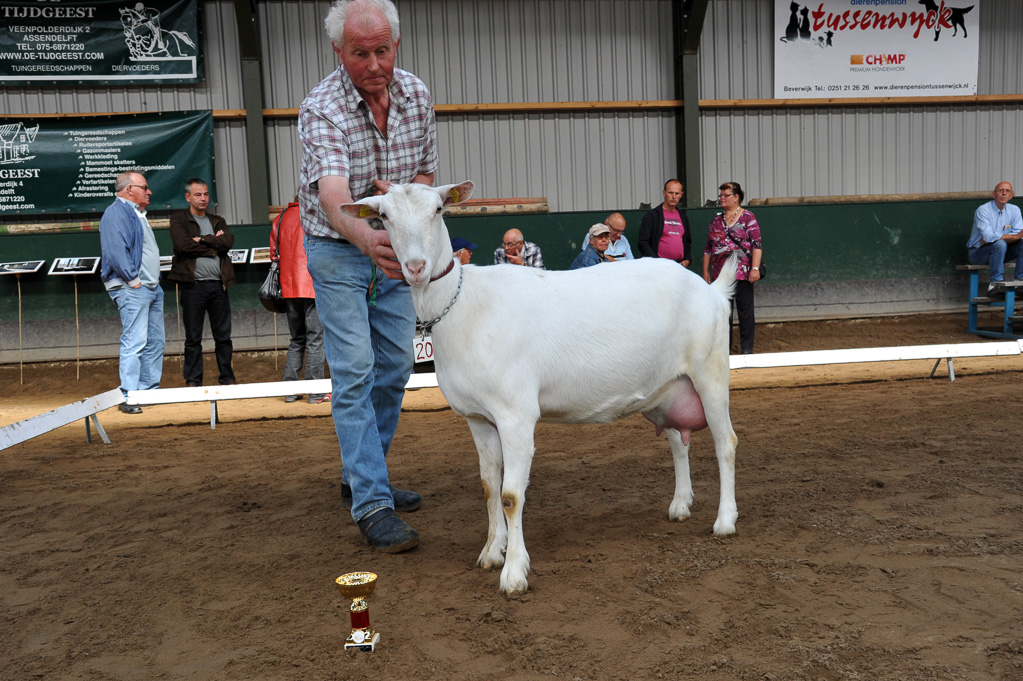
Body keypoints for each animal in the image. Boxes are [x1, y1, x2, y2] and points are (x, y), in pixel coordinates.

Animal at [341, 182, 736, 593]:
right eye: (383, 216)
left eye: (438, 209)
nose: (416, 268)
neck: (463, 305)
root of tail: (712, 290)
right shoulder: (478, 418)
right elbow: (489, 485)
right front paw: (491, 551)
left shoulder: (516, 414)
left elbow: (511, 495)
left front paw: (514, 573)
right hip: (666, 387)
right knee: (678, 442)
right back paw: (680, 504)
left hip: (710, 371)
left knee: (726, 443)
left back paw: (724, 521)